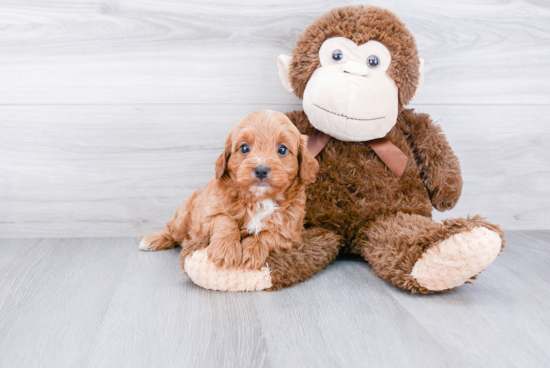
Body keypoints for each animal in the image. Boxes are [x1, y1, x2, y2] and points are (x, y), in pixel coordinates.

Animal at [140, 110, 320, 270]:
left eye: (282, 149)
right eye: (244, 148)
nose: (261, 170)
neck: (259, 199)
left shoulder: (291, 232)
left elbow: (268, 234)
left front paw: (252, 252)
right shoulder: (208, 214)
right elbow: (225, 220)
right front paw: (225, 250)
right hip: (184, 216)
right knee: (172, 231)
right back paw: (151, 240)